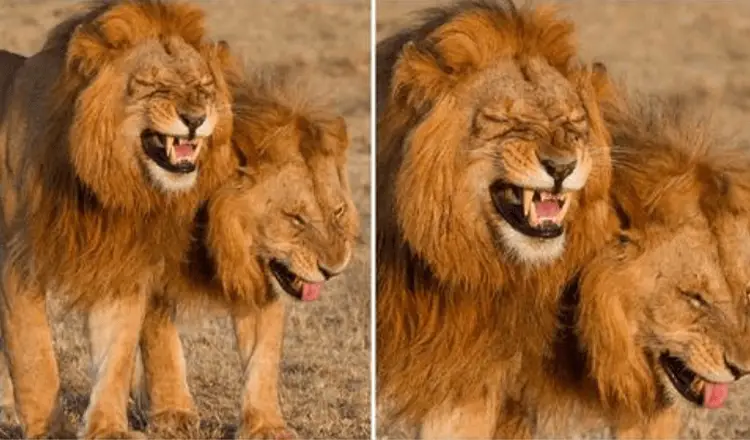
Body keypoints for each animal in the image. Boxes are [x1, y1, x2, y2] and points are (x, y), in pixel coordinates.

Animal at [0, 2, 239, 436]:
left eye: (203, 88)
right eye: (152, 86)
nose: (195, 118)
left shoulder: (120, 263)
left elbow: (115, 356)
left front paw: (107, 427)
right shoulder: (16, 261)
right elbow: (33, 354)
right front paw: (49, 430)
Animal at [129, 70, 362, 438]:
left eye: (338, 211)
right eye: (295, 218)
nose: (334, 268)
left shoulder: (262, 281)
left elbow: (263, 356)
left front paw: (266, 425)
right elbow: (159, 341)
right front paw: (172, 414)